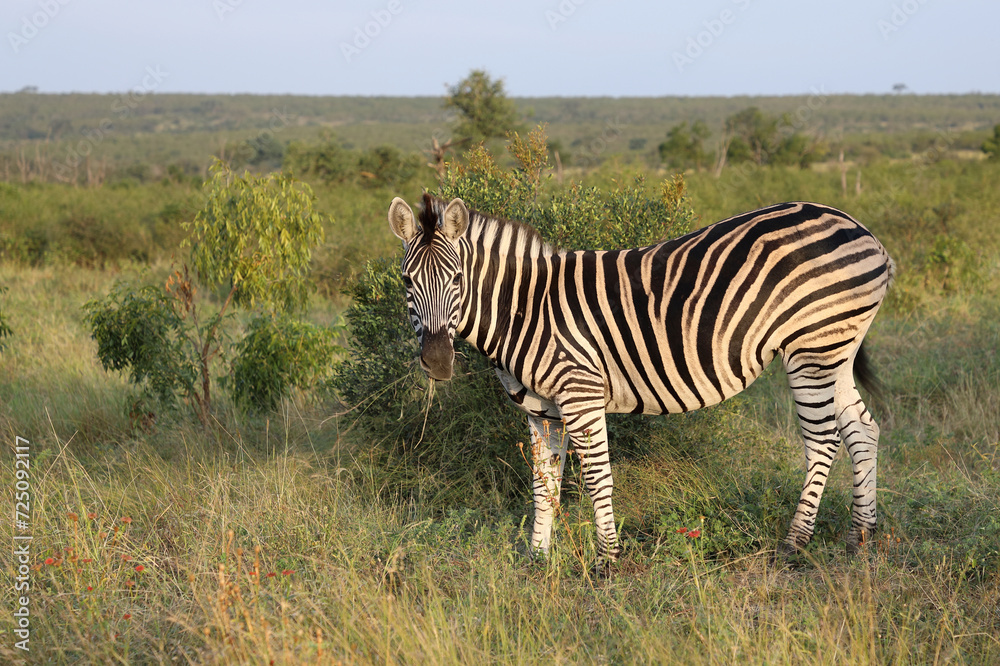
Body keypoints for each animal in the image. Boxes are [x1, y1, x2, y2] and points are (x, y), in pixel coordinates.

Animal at [388, 193, 894, 564]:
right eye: (407, 282)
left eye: (456, 279)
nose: (438, 362)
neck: (526, 308)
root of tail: (864, 231)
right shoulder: (541, 410)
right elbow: (543, 485)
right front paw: (537, 559)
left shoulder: (580, 392)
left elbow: (597, 477)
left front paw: (607, 560)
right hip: (836, 349)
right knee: (863, 430)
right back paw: (859, 536)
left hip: (811, 347)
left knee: (823, 441)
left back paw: (794, 543)